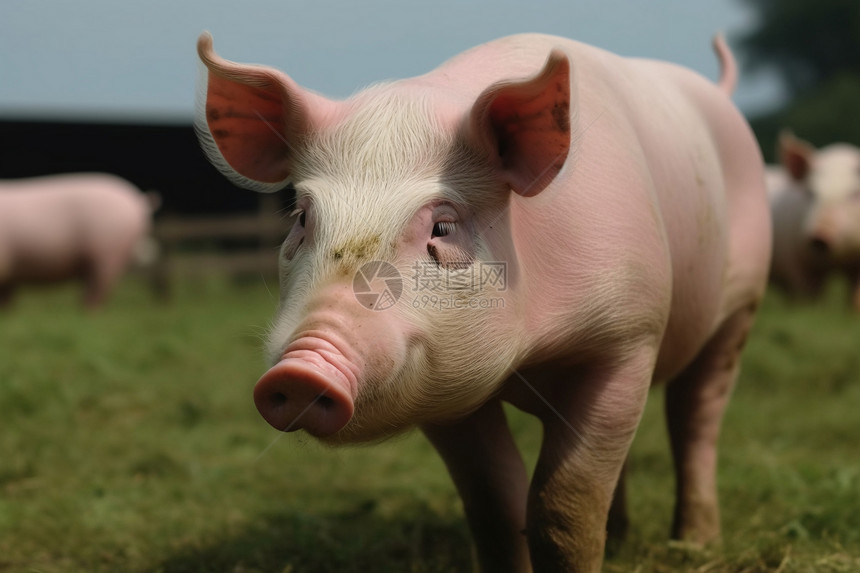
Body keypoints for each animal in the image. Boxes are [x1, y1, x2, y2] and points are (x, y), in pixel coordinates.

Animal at [197, 32, 772, 572]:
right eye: (301, 218)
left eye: (443, 227)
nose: (300, 369)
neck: (530, 355)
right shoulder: (444, 390)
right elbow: (495, 505)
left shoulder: (629, 335)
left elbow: (564, 505)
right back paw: (624, 539)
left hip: (741, 303)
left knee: (694, 418)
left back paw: (694, 543)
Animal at [764, 131, 860, 308]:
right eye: (811, 193)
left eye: (854, 194)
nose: (820, 235)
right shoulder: (795, 259)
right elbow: (808, 294)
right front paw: (811, 310)